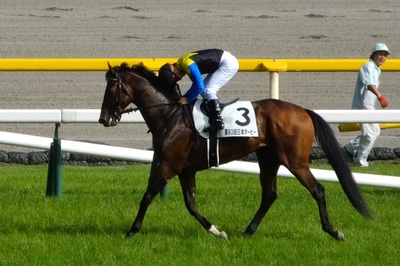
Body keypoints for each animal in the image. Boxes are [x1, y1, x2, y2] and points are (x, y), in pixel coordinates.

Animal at [97, 62, 372, 241]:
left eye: (111, 88)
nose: (103, 119)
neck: (170, 114)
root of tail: (303, 110)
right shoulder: (185, 169)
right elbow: (191, 205)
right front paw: (217, 231)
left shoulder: (169, 165)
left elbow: (147, 196)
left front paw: (131, 231)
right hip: (268, 159)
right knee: (269, 195)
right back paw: (248, 231)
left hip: (295, 161)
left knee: (318, 190)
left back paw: (333, 231)